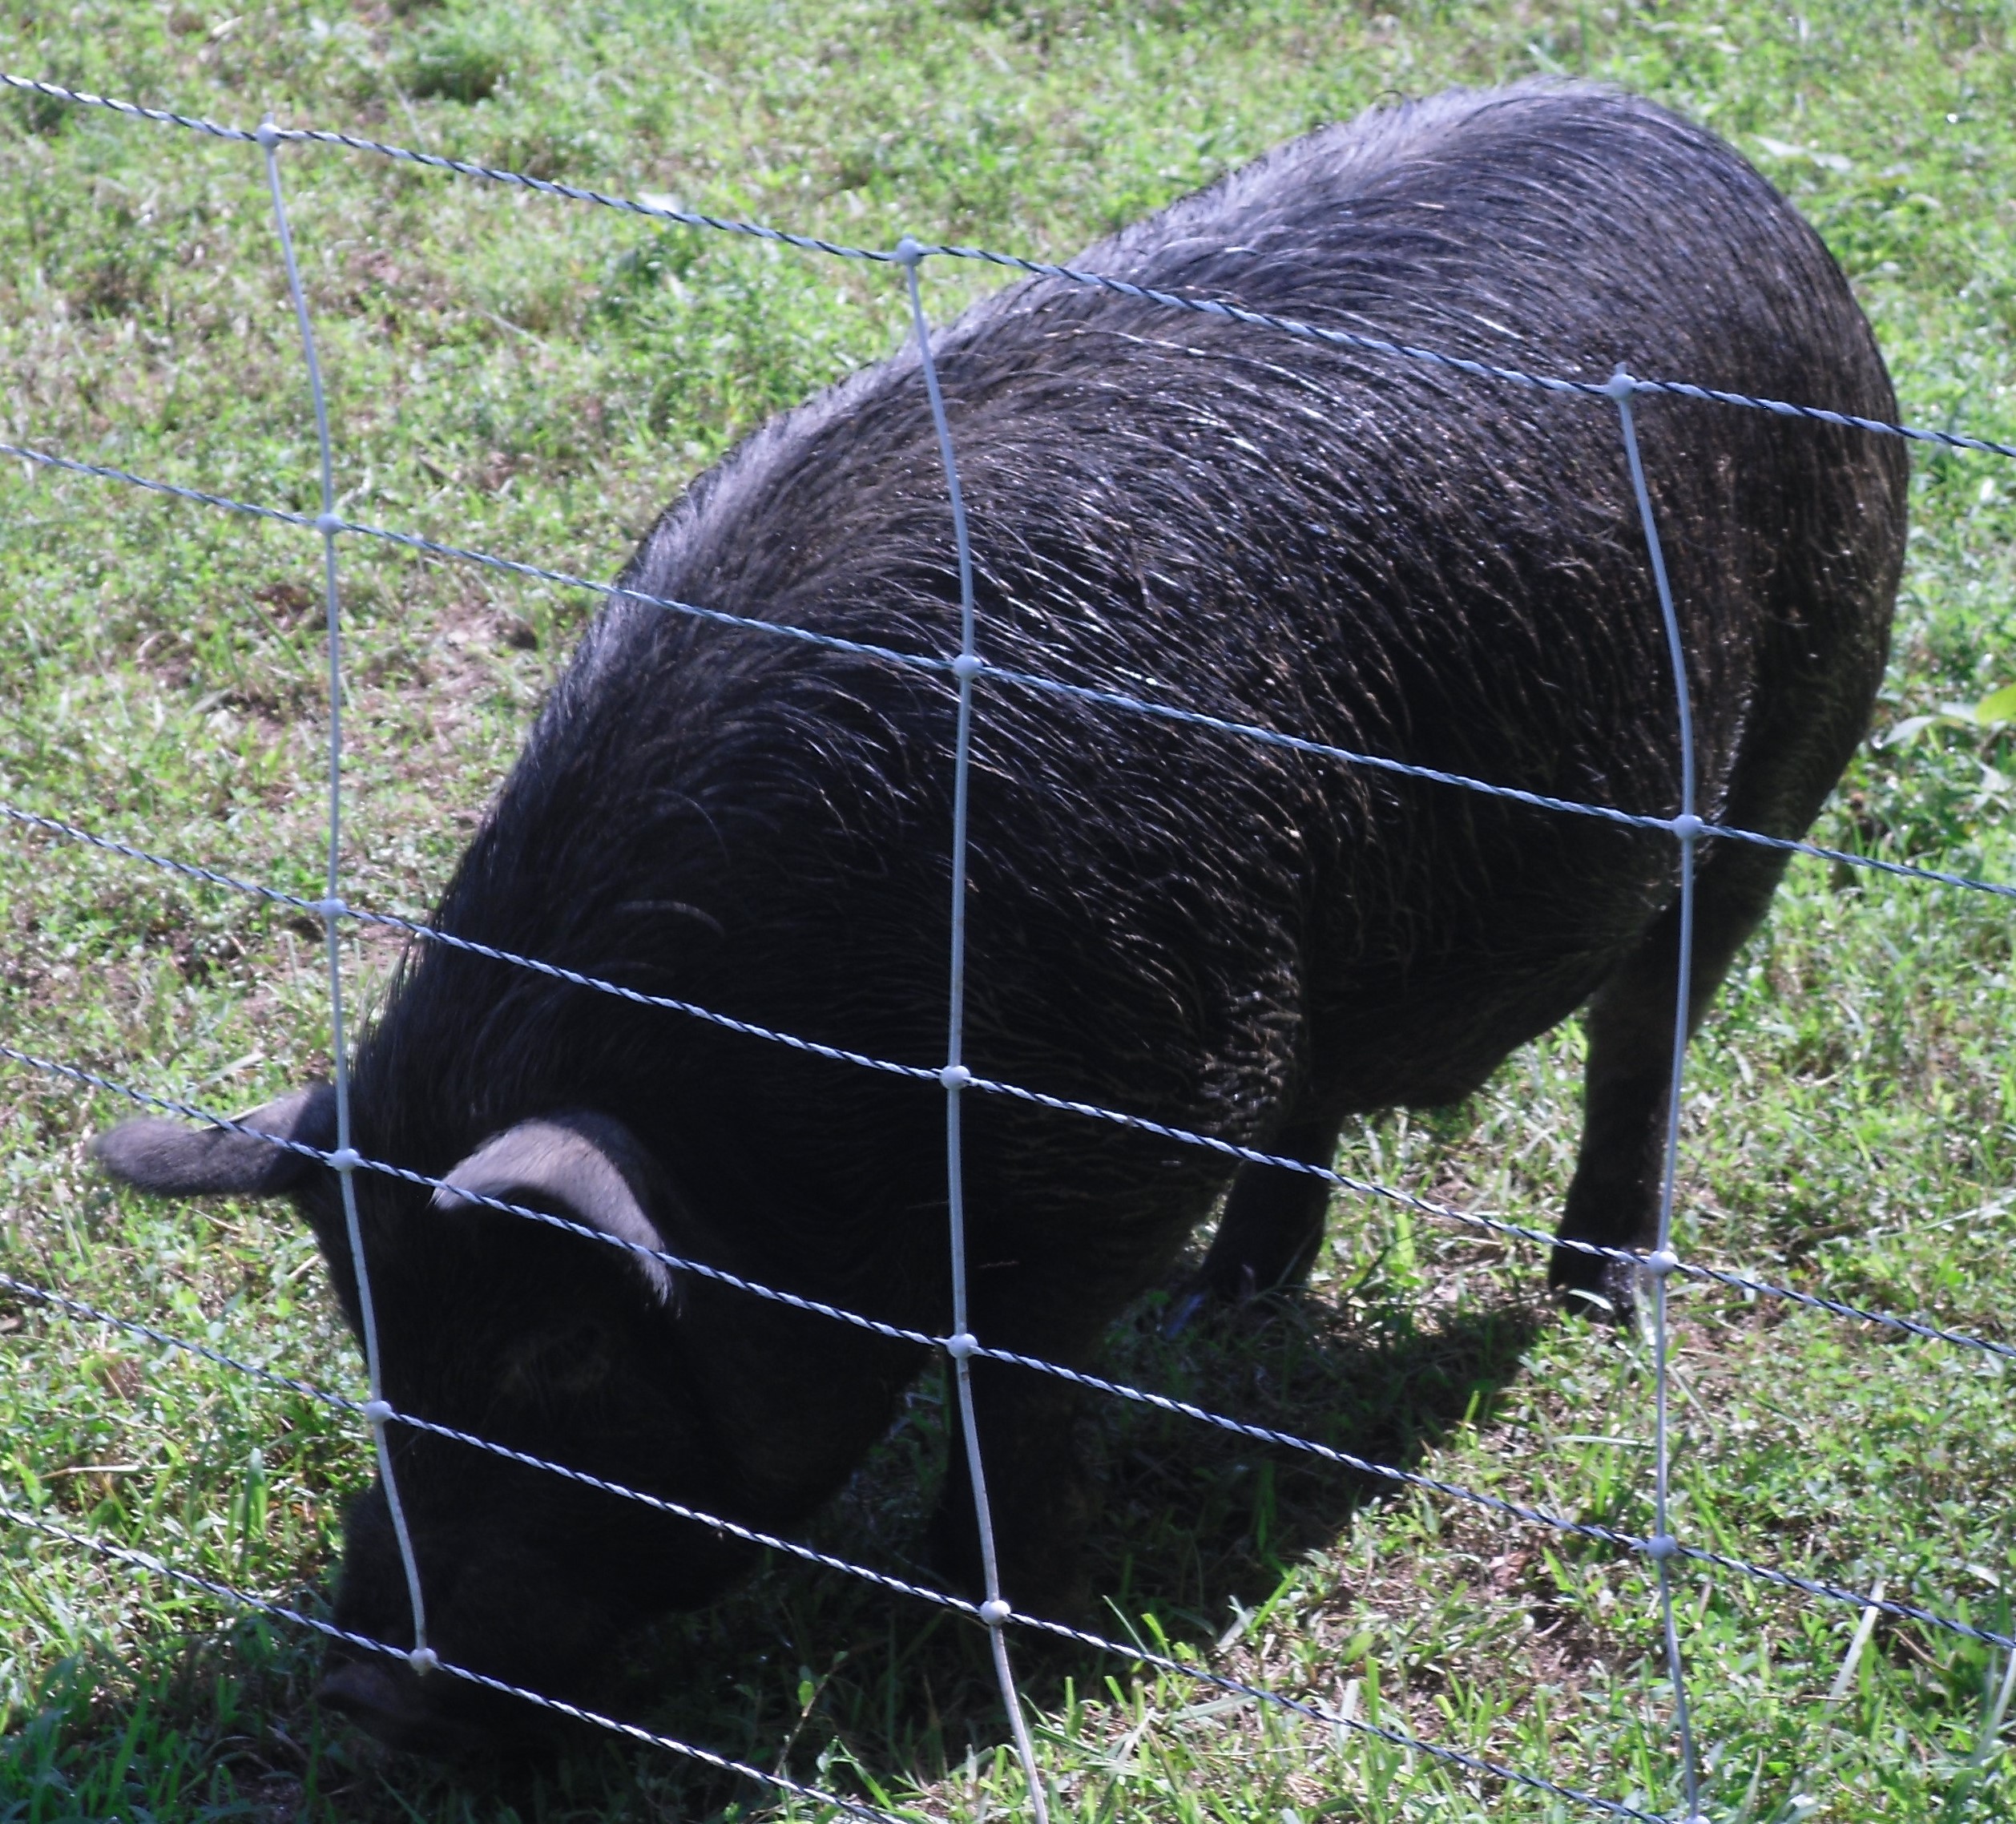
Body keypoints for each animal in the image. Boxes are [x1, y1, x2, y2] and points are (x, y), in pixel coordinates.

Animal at [98, 85, 1903, 1749]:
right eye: (374, 1336)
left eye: (559, 1354)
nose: (356, 1686)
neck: (798, 1069)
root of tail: (1719, 161)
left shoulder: (1123, 1126)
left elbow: (1013, 1395)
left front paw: (1006, 1658)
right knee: (1331, 1105)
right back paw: (1223, 1311)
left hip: (1802, 708)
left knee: (1648, 1030)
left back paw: (1596, 1301)